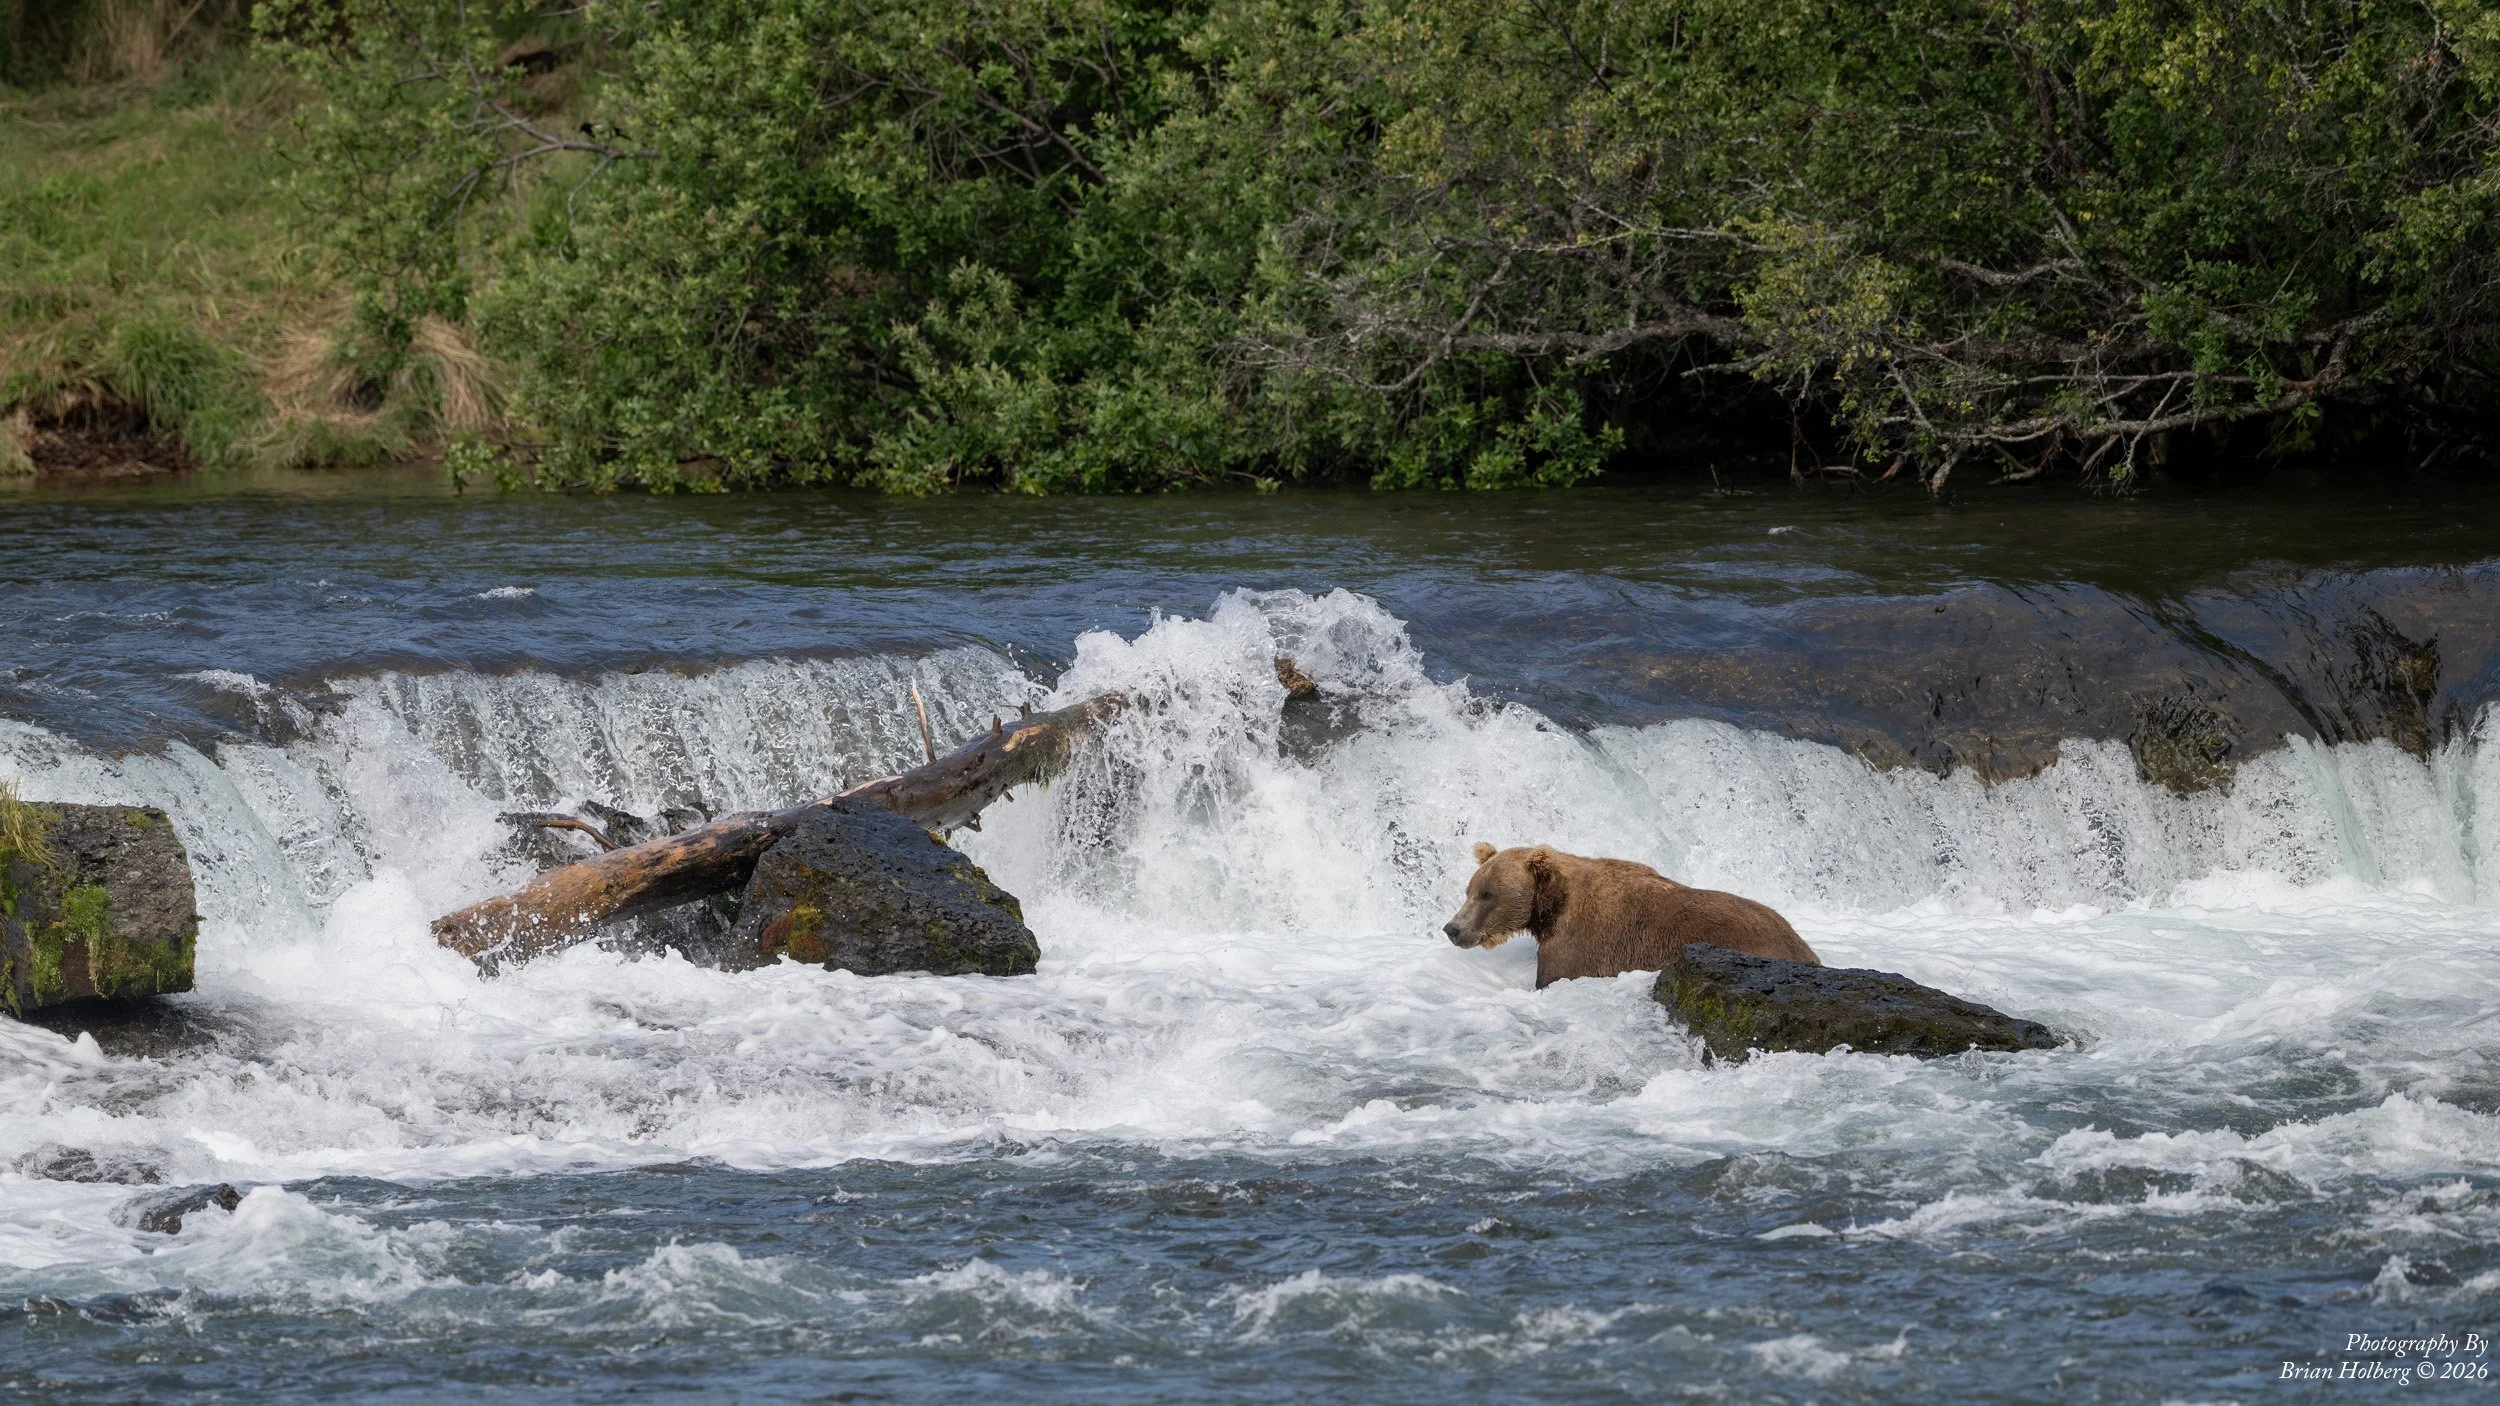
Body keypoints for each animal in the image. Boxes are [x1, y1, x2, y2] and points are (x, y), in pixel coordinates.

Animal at [1442, 842, 1819, 988]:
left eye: (1488, 894)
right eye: (1469, 890)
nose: (1452, 928)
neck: (1552, 906)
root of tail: (1804, 947)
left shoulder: (1580, 945)